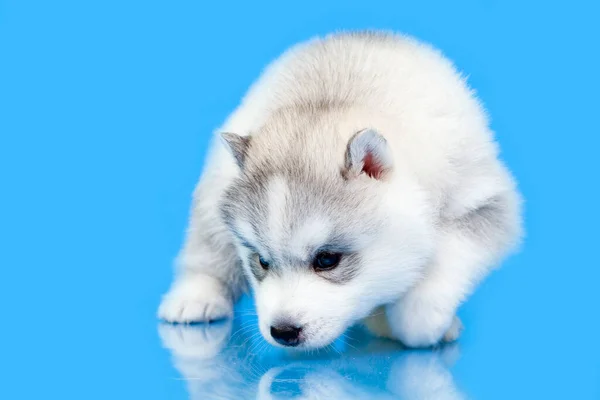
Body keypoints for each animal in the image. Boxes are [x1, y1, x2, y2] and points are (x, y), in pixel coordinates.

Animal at [158, 31, 520, 348]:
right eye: (261, 261)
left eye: (327, 259)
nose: (283, 332)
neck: (337, 103)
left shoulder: (481, 202)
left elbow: (447, 257)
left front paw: (418, 322)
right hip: (214, 185)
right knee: (208, 248)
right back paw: (195, 295)